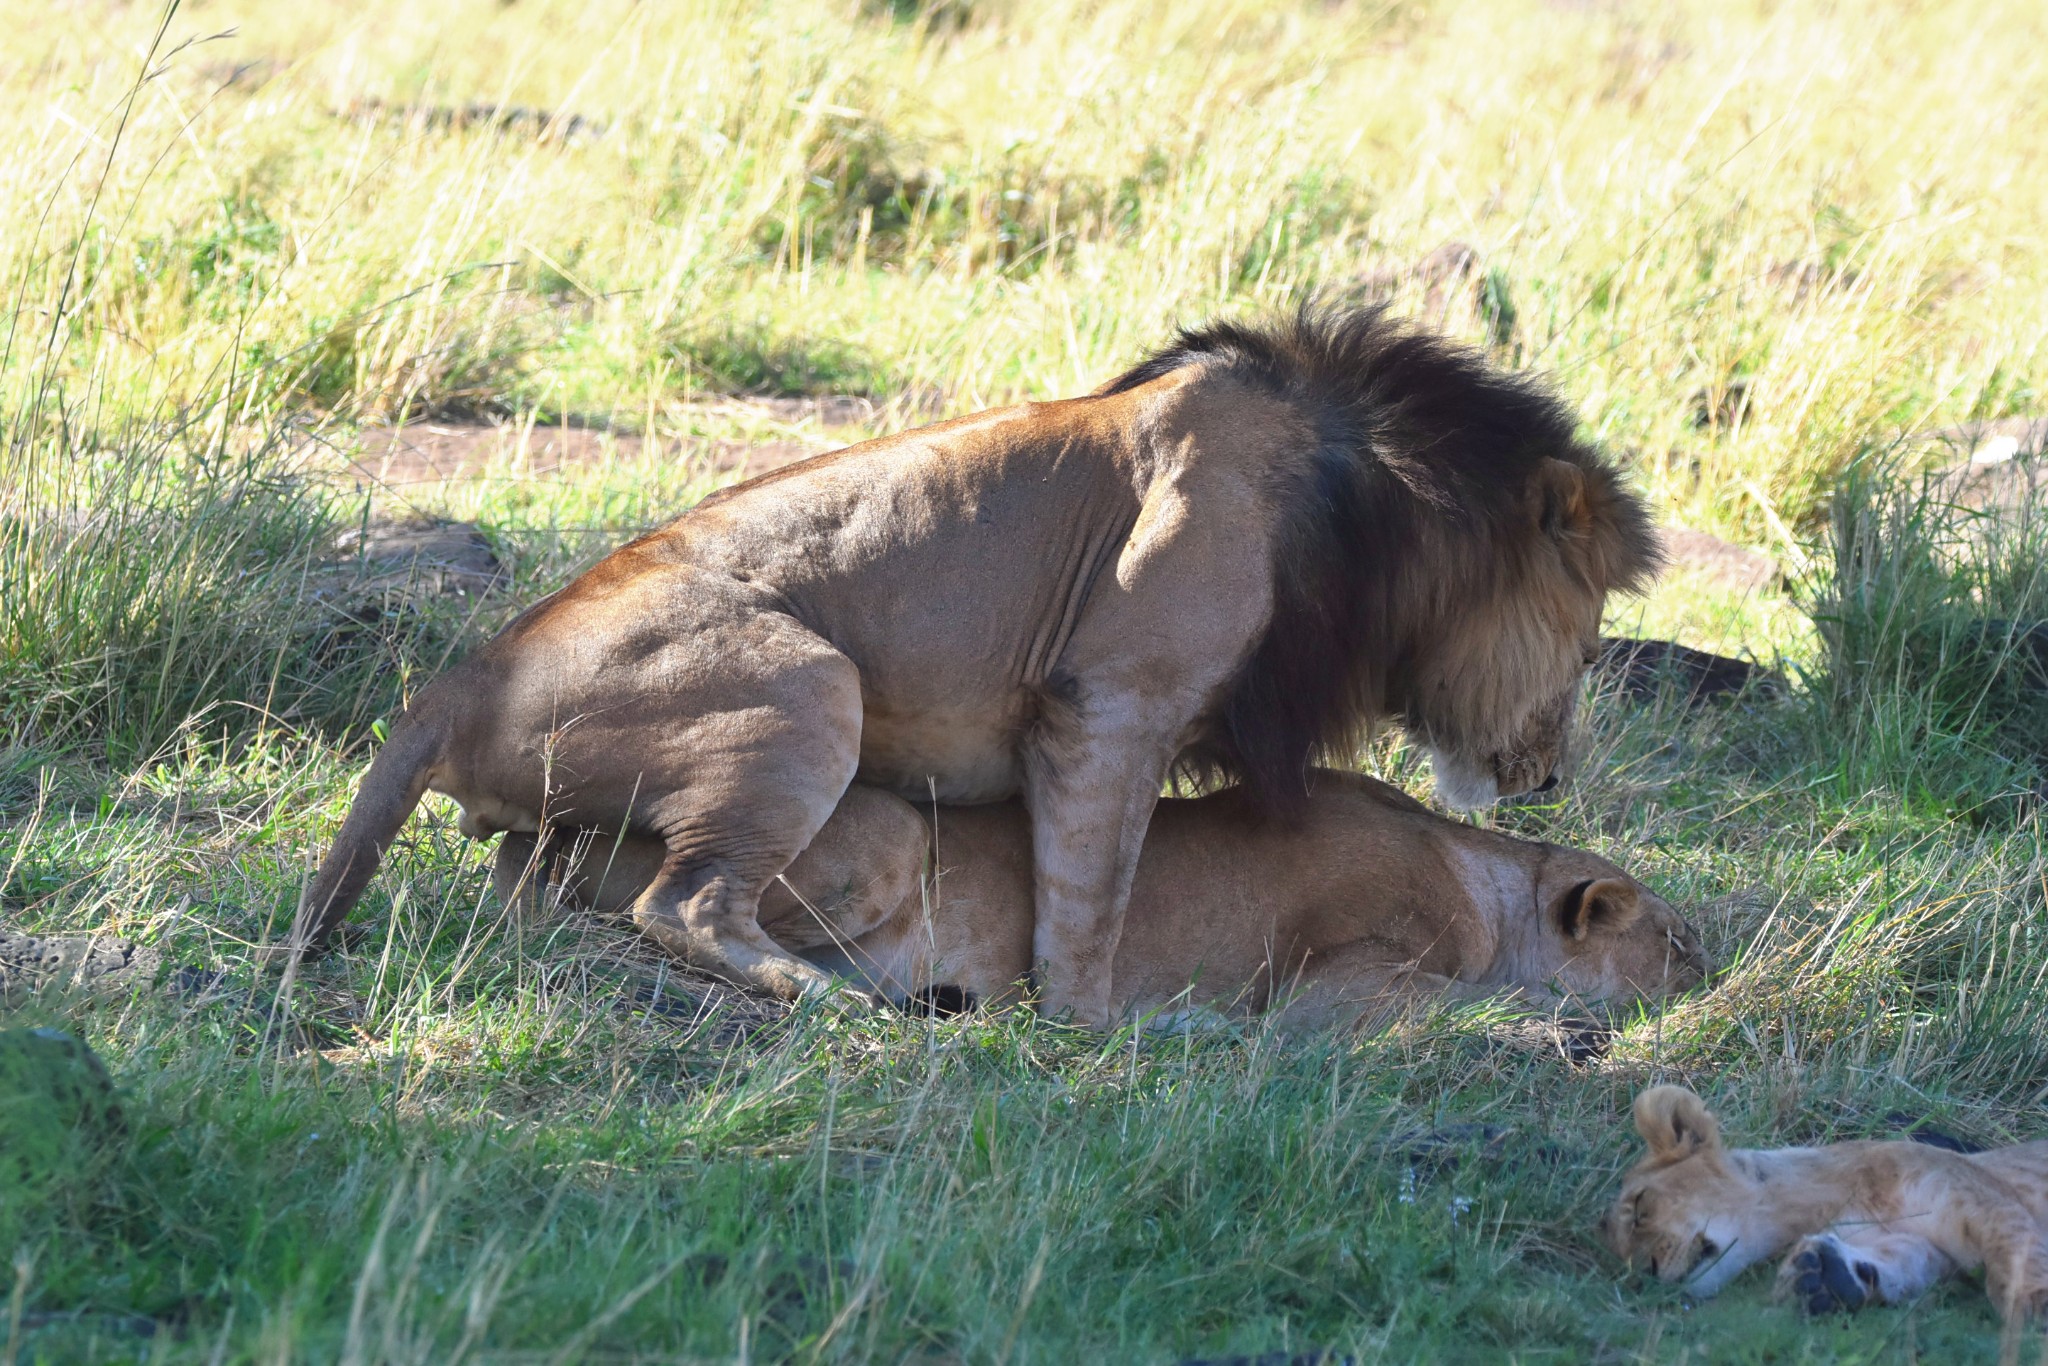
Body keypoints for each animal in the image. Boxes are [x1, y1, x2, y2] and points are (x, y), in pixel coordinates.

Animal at [292, 305, 1662, 1019]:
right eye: (1590, 635)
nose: (1548, 777)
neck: (1372, 511)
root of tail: (458, 678)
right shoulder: (1107, 705)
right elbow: (1093, 897)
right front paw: (1098, 1032)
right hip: (811, 687)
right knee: (678, 904)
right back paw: (834, 998)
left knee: (547, 873)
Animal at [1597, 1081, 2048, 1318]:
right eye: (1624, 1263)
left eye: (1640, 1208)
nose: (1648, 1275)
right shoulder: (1920, 1245)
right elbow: (1900, 1264)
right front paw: (1818, 1278)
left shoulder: (1981, 1197)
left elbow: (2015, 1252)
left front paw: (2033, 1308)